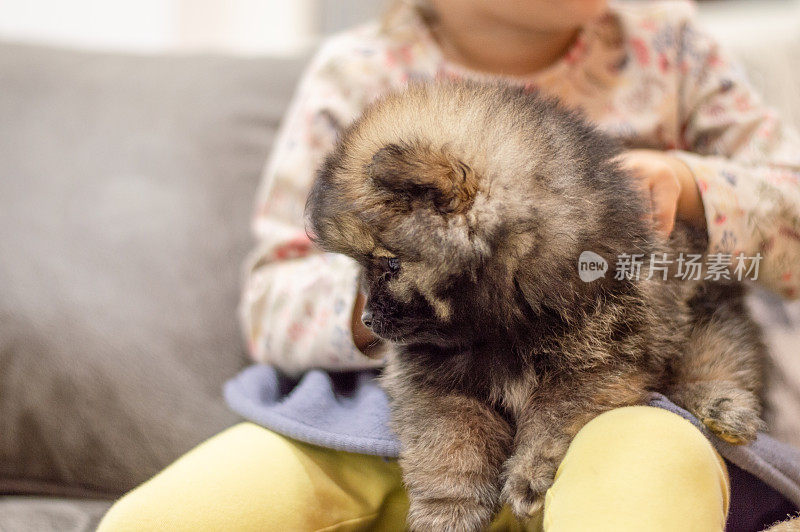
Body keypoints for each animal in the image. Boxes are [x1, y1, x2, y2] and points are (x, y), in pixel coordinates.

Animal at [304, 81, 764, 528]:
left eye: (391, 264)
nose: (366, 318)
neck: (505, 323)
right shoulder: (435, 382)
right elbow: (449, 439)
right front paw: (449, 507)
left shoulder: (601, 360)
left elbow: (553, 417)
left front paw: (527, 473)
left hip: (702, 311)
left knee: (719, 352)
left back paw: (721, 402)